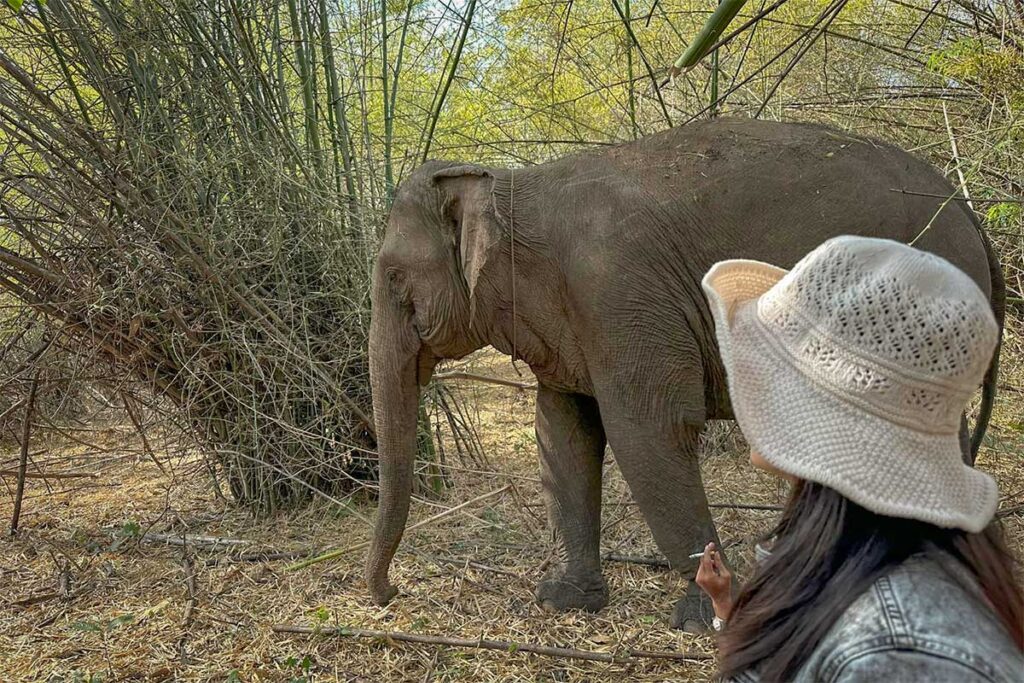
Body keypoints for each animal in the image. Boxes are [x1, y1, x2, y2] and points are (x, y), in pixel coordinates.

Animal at [364, 117, 1005, 630]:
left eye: (393, 277)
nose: (390, 594)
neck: (510, 187)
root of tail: (967, 209)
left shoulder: (619, 292)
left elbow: (649, 430)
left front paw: (702, 616)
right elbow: (564, 433)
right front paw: (565, 600)